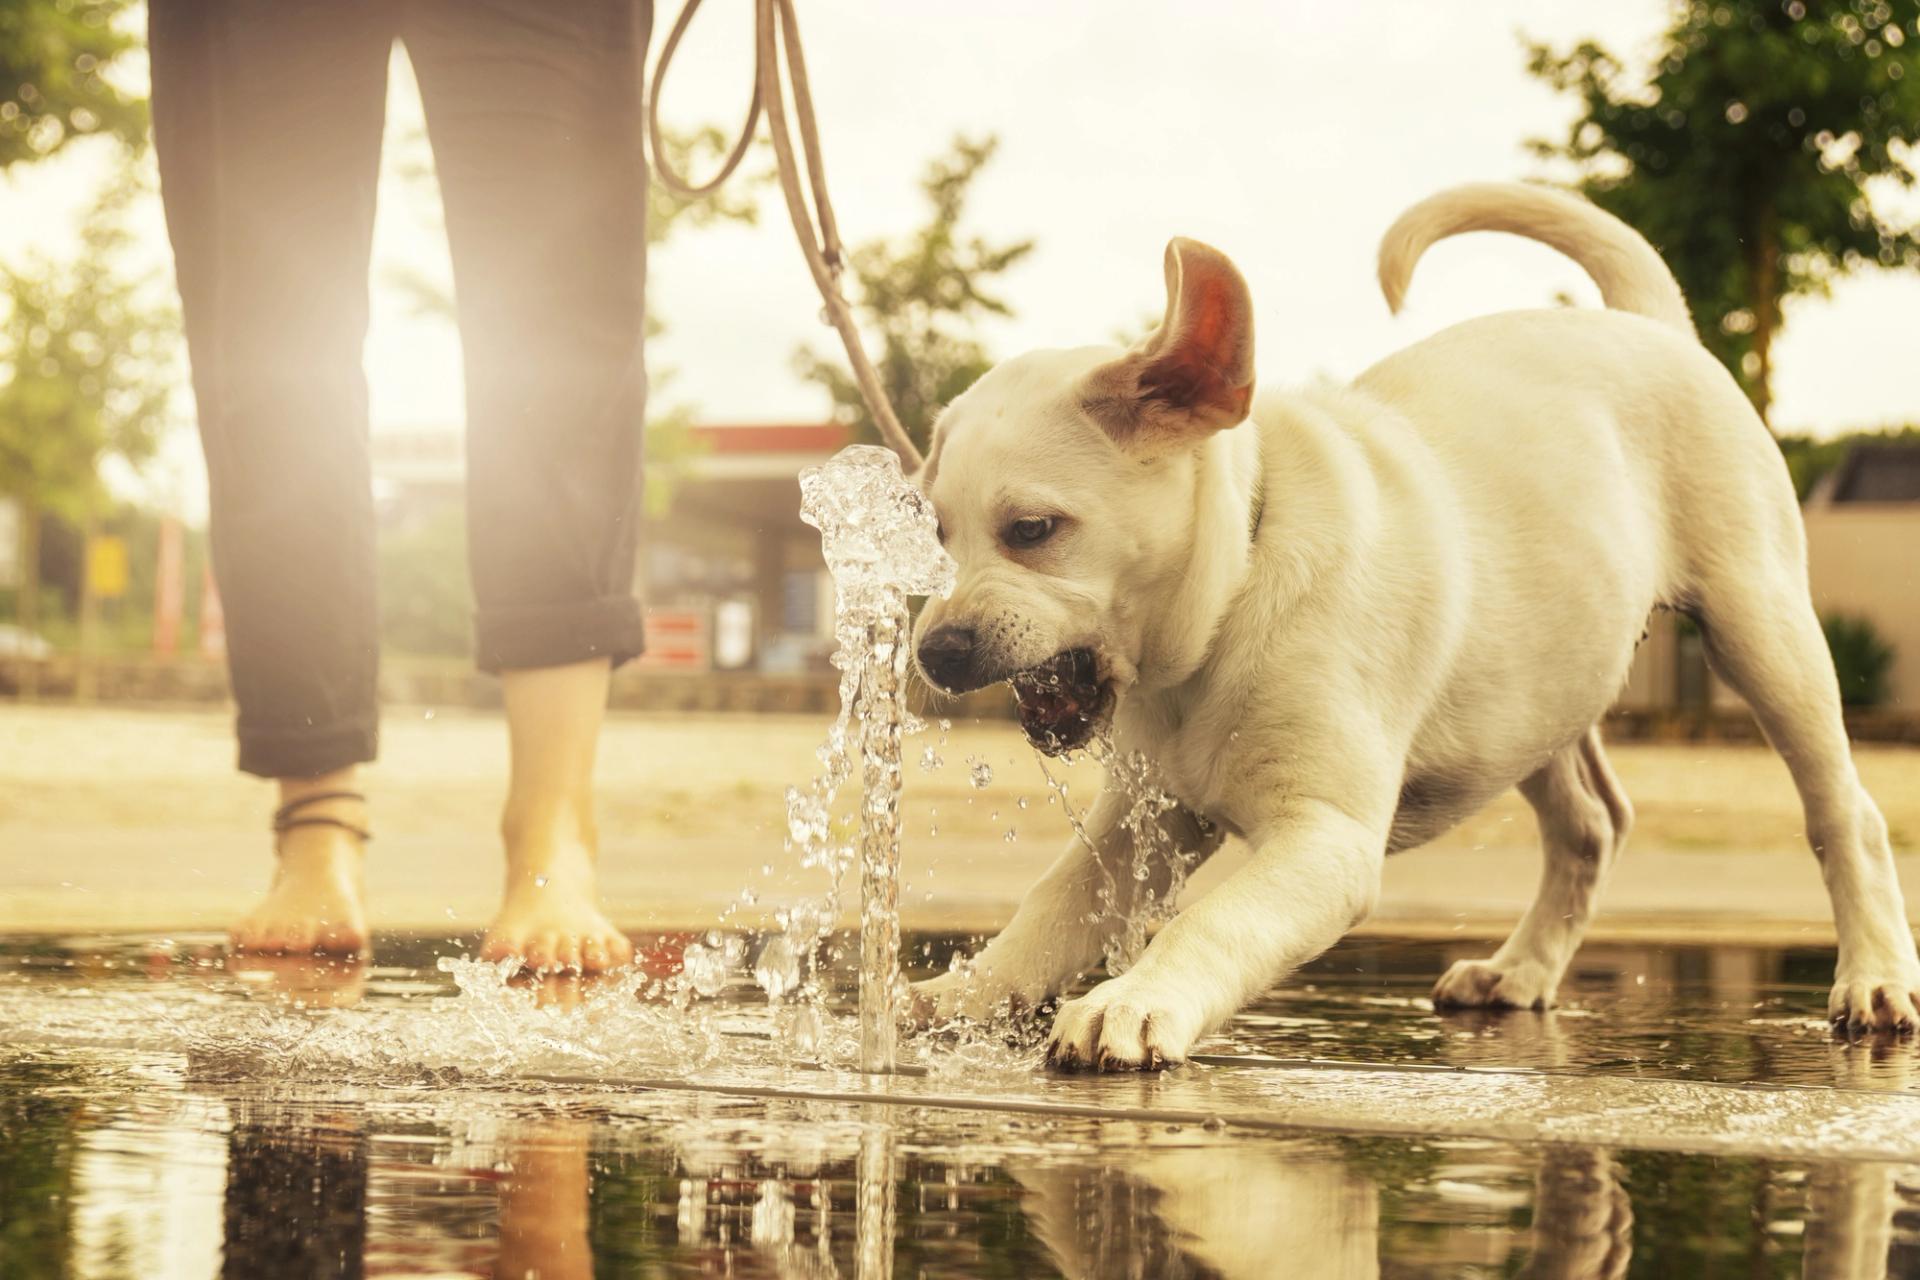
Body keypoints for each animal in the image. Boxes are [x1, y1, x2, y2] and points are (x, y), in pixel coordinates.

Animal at [910, 177, 1920, 1059]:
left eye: (1033, 530)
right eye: (937, 532)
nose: (937, 652)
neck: (1234, 597)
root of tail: (1648, 323)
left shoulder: (1324, 842)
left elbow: (1211, 924)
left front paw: (1133, 1003)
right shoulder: (1143, 827)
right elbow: (1048, 911)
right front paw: (960, 997)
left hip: (1762, 628)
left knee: (1845, 813)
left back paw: (1874, 977)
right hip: (1538, 689)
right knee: (1591, 825)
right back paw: (1521, 971)